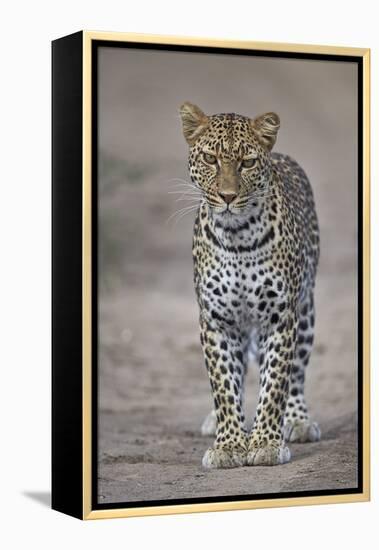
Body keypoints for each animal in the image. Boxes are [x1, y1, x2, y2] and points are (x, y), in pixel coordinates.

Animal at [180, 102, 322, 470]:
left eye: (247, 162)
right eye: (210, 159)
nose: (228, 197)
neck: (237, 235)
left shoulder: (281, 318)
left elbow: (275, 385)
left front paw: (266, 443)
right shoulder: (216, 321)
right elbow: (223, 385)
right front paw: (229, 444)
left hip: (306, 311)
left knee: (297, 374)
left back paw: (297, 421)